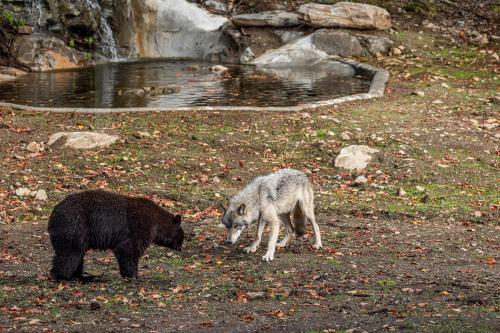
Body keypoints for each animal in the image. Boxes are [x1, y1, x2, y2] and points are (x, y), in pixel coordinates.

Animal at [47, 188, 185, 278]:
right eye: (181, 237)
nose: (180, 248)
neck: (156, 225)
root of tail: (53, 213)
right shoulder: (138, 227)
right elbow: (128, 250)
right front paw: (133, 275)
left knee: (76, 255)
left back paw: (80, 275)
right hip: (75, 226)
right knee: (70, 254)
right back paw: (62, 275)